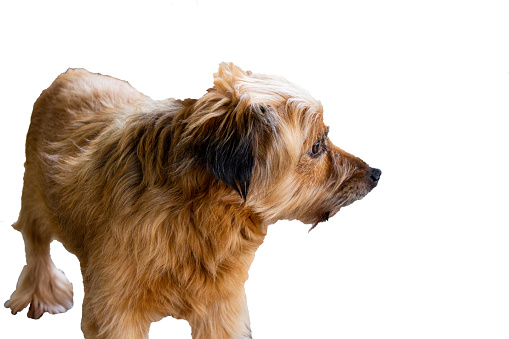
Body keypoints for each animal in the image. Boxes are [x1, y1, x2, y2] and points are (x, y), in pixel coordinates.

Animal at [2, 63, 378, 338]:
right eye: (317, 147)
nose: (376, 173)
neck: (201, 213)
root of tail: (69, 73)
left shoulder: (221, 307)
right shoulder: (116, 309)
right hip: (33, 192)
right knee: (35, 242)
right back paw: (40, 293)